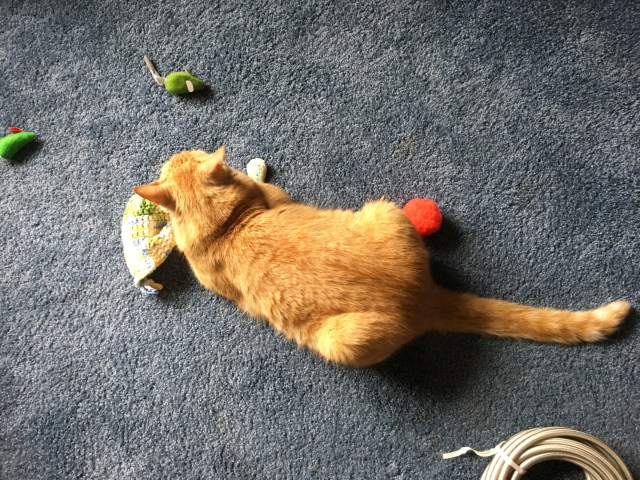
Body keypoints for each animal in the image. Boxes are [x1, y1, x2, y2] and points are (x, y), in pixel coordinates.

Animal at [134, 146, 631, 367]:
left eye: (183, 153)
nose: (175, 150)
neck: (231, 223)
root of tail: (423, 295)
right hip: (387, 210)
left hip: (345, 340)